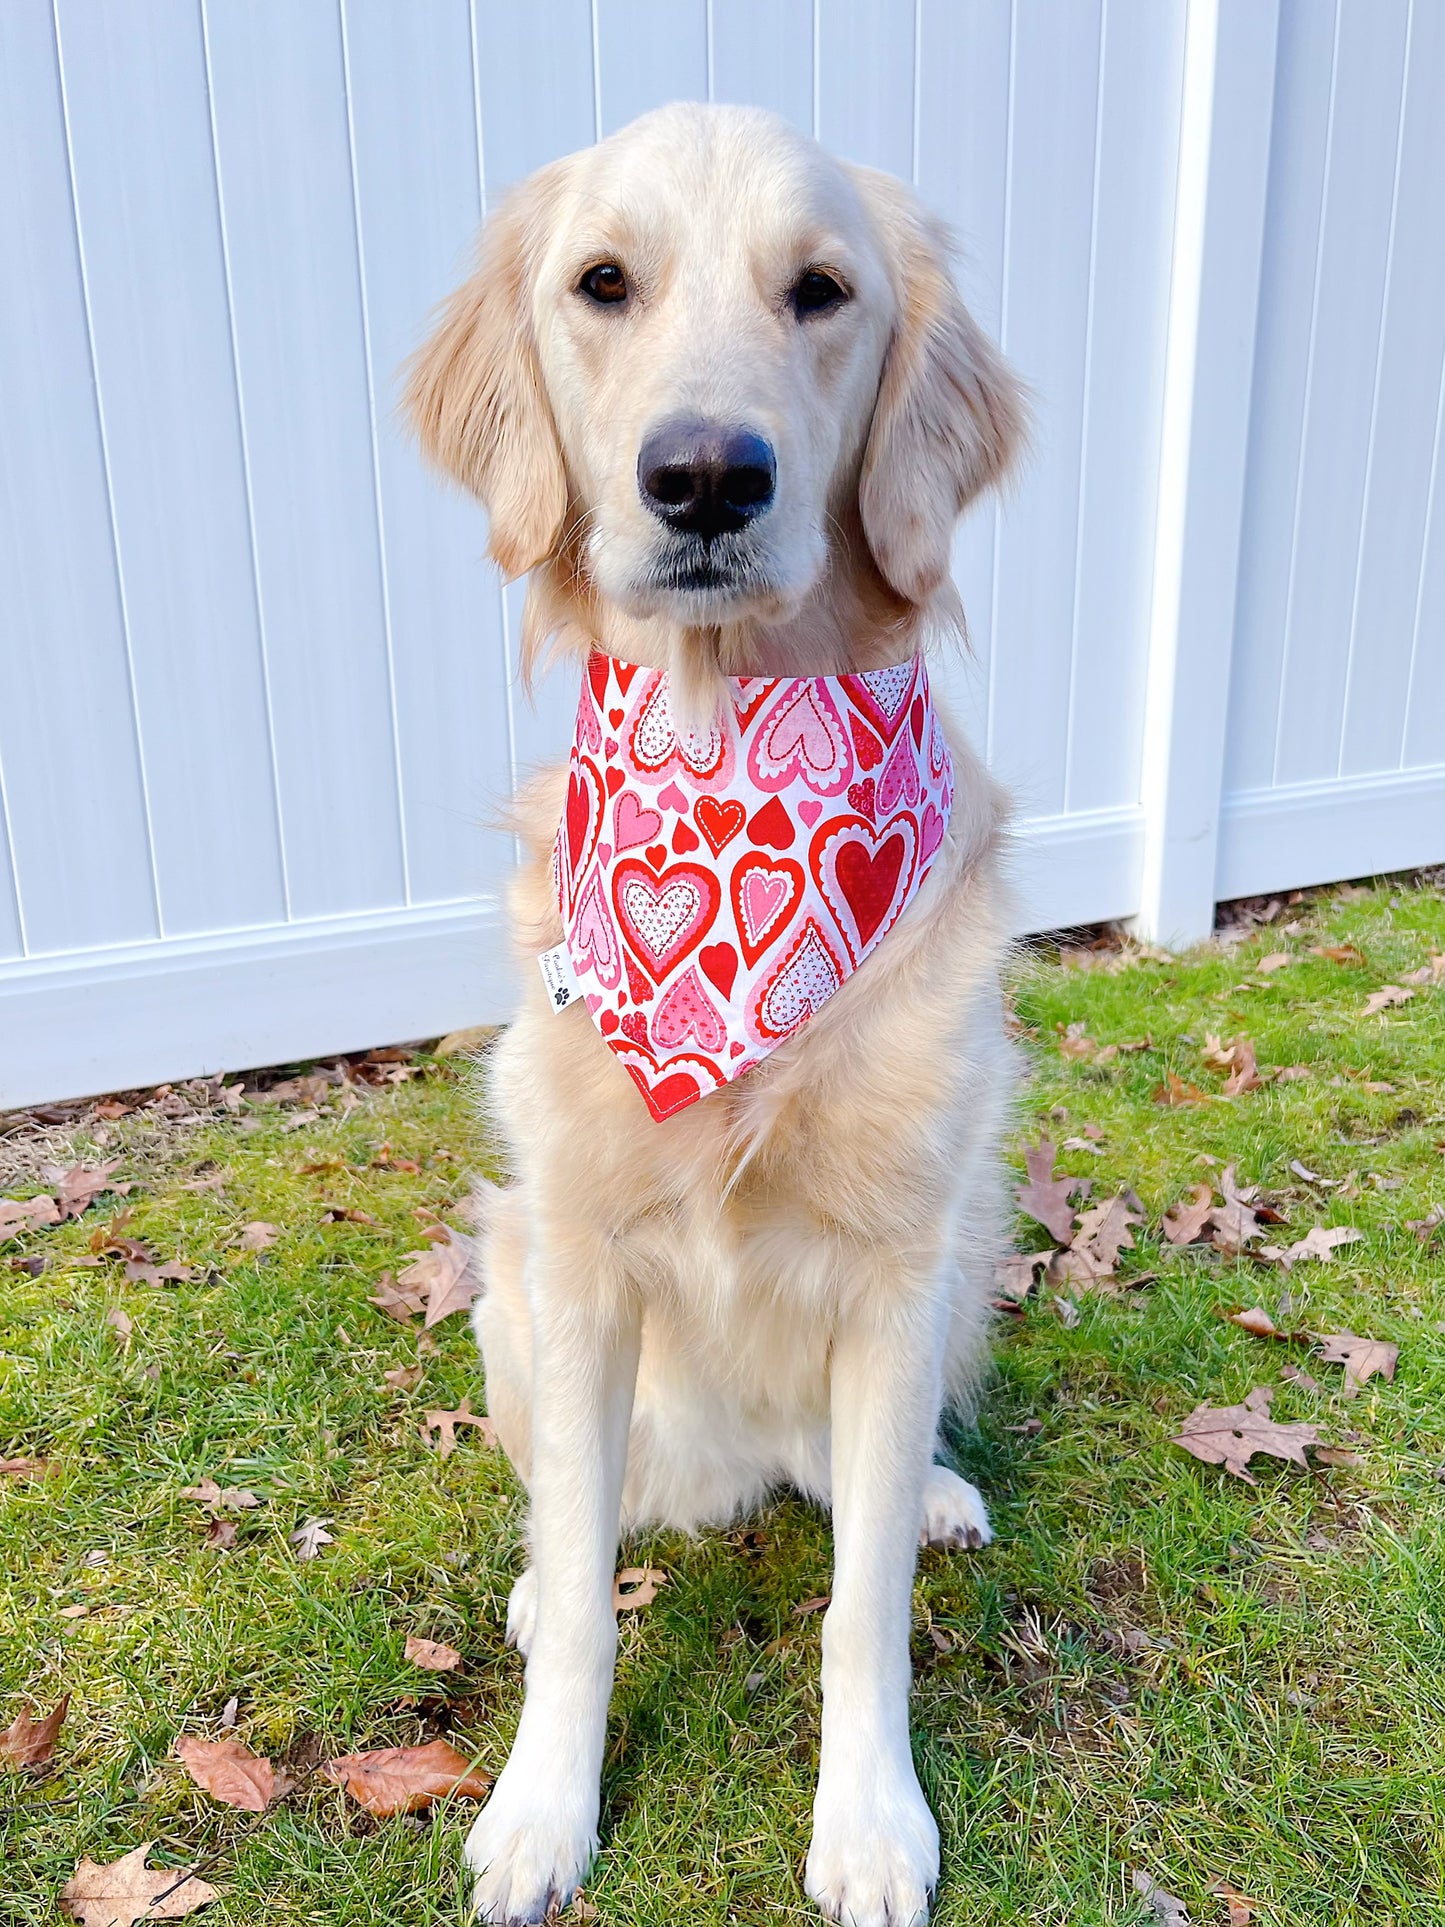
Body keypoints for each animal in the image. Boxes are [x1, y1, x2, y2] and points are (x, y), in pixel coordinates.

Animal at [402, 105, 1024, 1927]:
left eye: (819, 291)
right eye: (603, 282)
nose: (701, 476)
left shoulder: (895, 1271)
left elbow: (862, 1614)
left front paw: (871, 1822)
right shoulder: (584, 1256)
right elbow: (585, 1604)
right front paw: (541, 1810)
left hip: (966, 1256)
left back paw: (933, 1493)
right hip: (509, 1285)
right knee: (575, 1507)